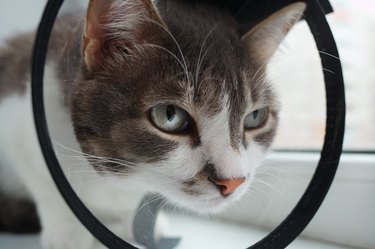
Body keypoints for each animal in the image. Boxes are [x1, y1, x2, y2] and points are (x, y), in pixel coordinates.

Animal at [0, 0, 306, 247]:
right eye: (169, 115)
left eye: (255, 117)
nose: (232, 182)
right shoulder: (22, 114)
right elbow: (45, 182)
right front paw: (68, 232)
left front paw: (142, 225)